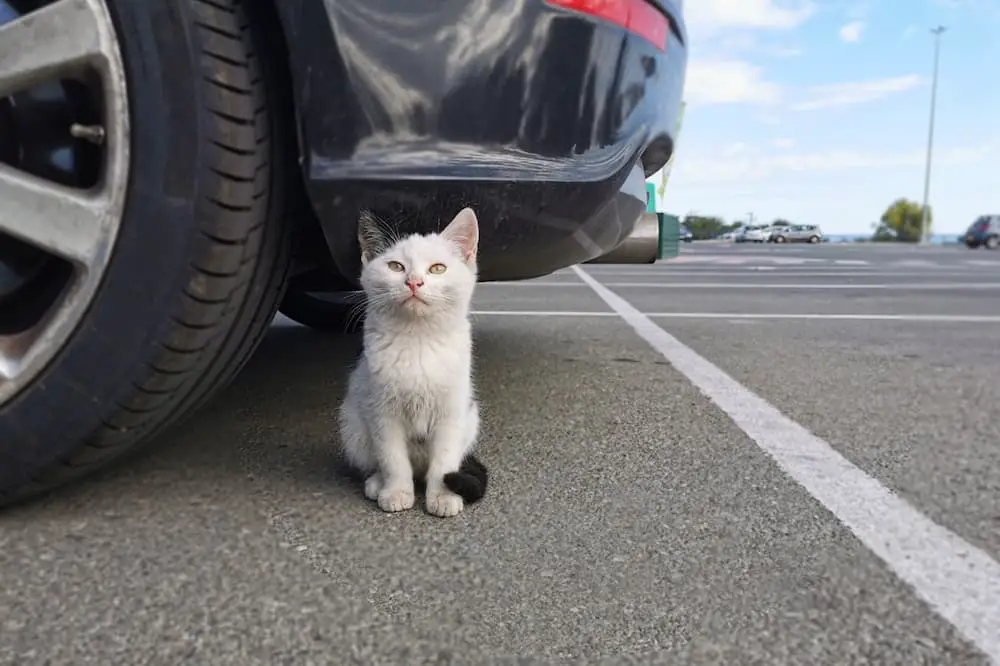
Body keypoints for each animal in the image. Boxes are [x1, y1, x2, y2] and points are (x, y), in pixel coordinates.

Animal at [338, 205, 490, 516]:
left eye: (437, 268)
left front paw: (442, 497)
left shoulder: (451, 413)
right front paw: (396, 491)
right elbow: (392, 458)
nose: (414, 282)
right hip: (352, 425)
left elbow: (444, 461)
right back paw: (378, 483)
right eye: (396, 267)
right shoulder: (382, 412)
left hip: (470, 420)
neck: (418, 340)